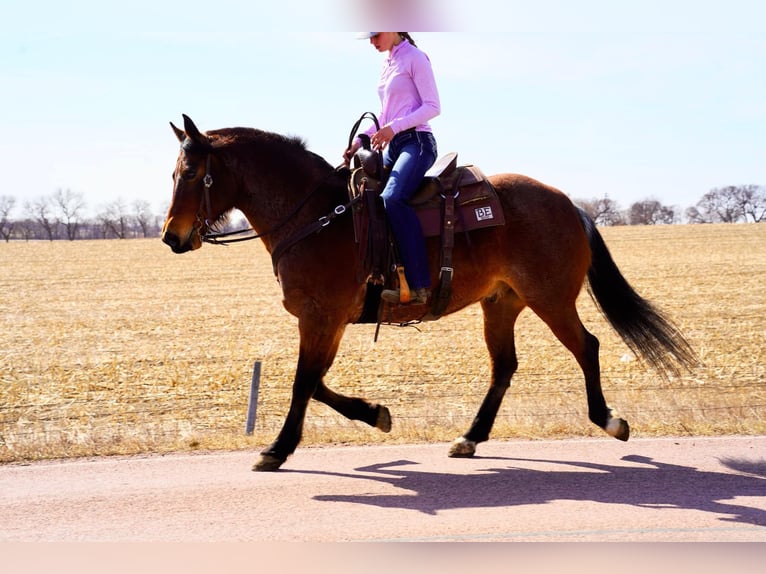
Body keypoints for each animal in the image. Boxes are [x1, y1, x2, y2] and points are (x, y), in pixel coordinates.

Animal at [162, 113, 704, 472]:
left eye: (191, 173)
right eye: (174, 173)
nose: (171, 237)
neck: (317, 215)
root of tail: (569, 204)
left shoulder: (320, 317)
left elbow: (303, 383)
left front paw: (277, 449)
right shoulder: (327, 322)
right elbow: (313, 382)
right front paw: (375, 414)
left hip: (550, 299)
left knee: (586, 347)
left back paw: (609, 420)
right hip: (501, 302)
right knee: (504, 367)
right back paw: (470, 437)